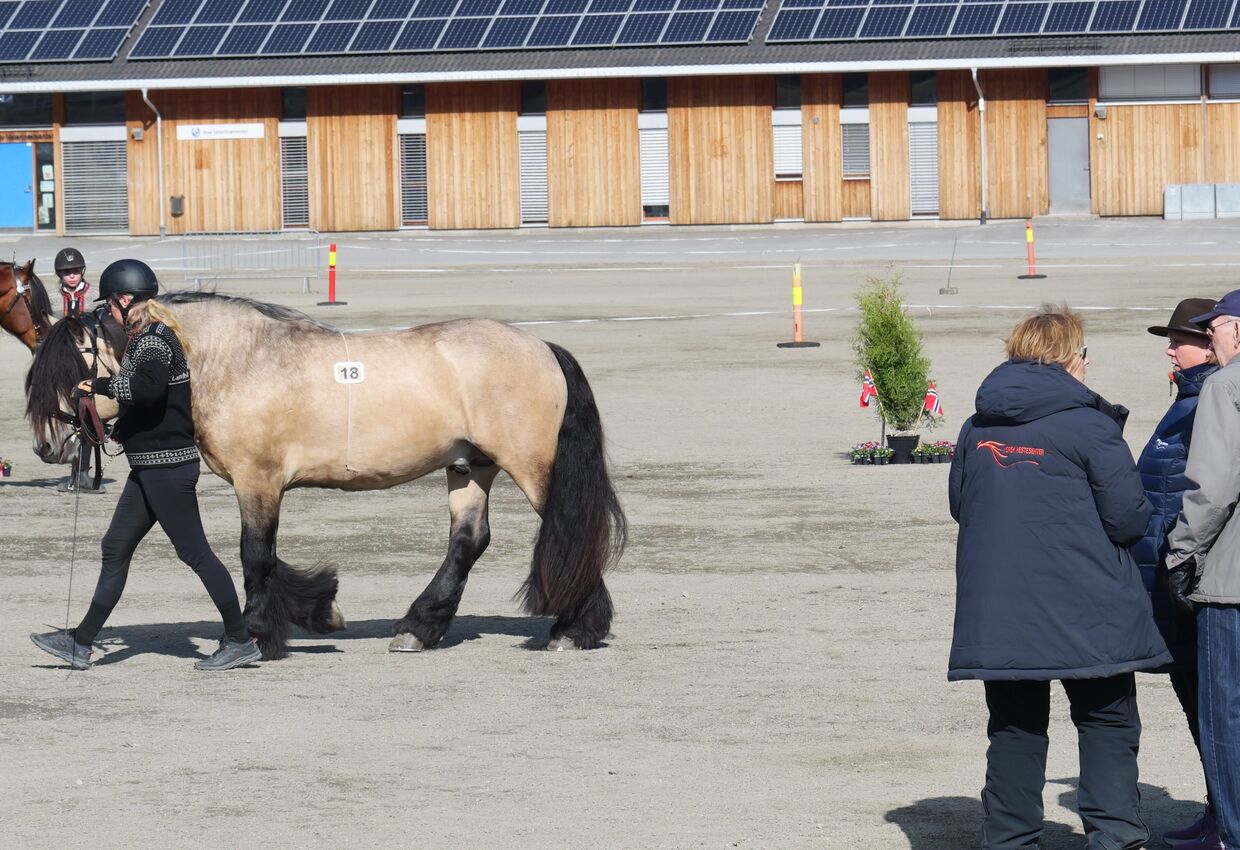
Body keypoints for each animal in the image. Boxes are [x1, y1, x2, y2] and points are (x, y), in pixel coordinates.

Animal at [26, 295, 629, 660]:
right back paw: (419, 627)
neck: (237, 362)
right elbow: (268, 559)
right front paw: (316, 611)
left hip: (530, 468)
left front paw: (259, 633)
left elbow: (255, 556)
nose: (47, 447)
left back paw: (573, 629)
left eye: (74, 368)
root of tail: (542, 347)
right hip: (468, 468)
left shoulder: (258, 482)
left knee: (568, 531)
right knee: (468, 542)